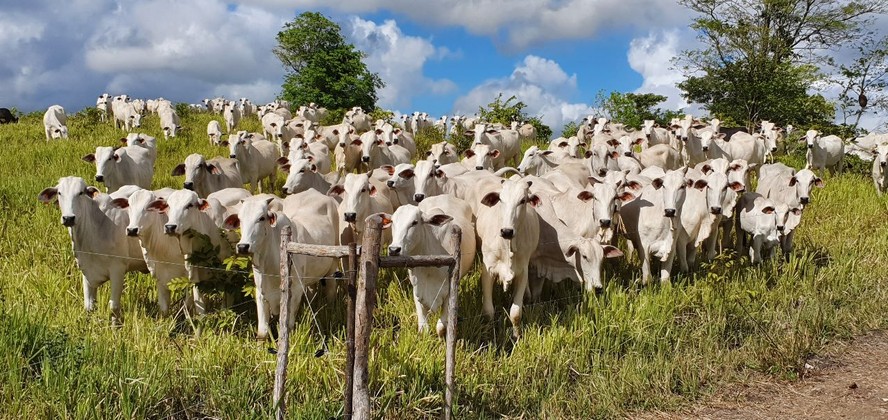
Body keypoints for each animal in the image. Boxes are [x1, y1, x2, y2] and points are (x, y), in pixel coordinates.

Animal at [38, 177, 148, 322]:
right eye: (60, 193)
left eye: (80, 192)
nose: (68, 218)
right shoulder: (86, 270)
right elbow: (89, 306)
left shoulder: (118, 269)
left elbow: (114, 307)